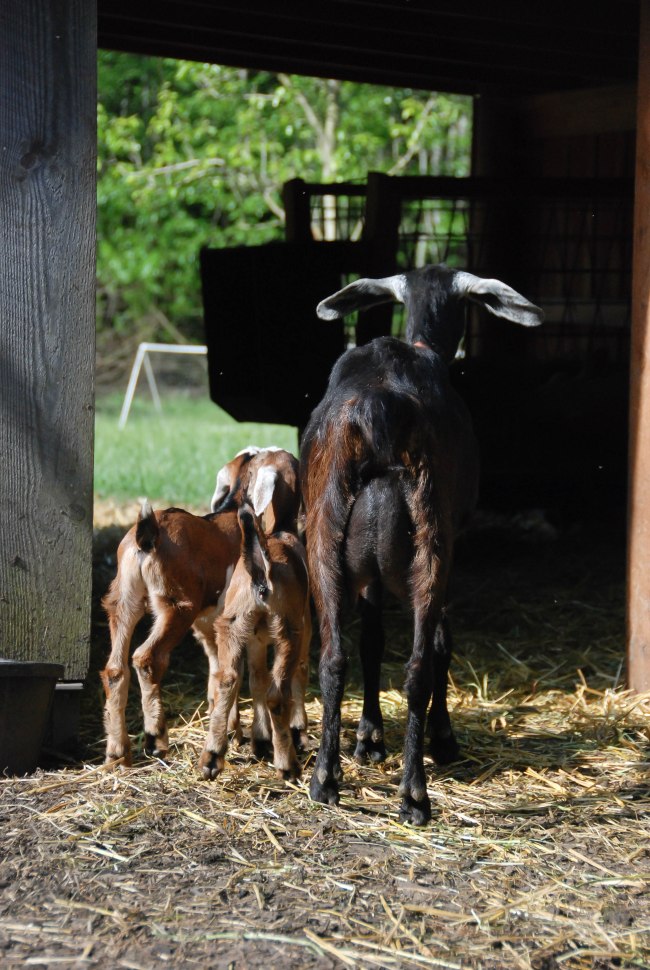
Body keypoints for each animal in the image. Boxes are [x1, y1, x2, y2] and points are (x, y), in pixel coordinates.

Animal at [198, 503, 311, 781]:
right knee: (278, 694)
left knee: (227, 681)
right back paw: (288, 765)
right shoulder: (304, 625)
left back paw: (212, 757)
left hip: (232, 625)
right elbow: (298, 672)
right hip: (289, 632)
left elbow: (257, 678)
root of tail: (262, 573)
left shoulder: (255, 640)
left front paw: (260, 740)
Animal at [301, 263, 543, 824]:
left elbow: (370, 640)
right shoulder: (455, 538)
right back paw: (414, 793)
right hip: (433, 541)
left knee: (333, 656)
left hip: (322, 535)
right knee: (418, 666)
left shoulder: (366, 573)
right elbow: (439, 644)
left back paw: (325, 779)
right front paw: (442, 737)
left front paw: (368, 737)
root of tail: (379, 406)